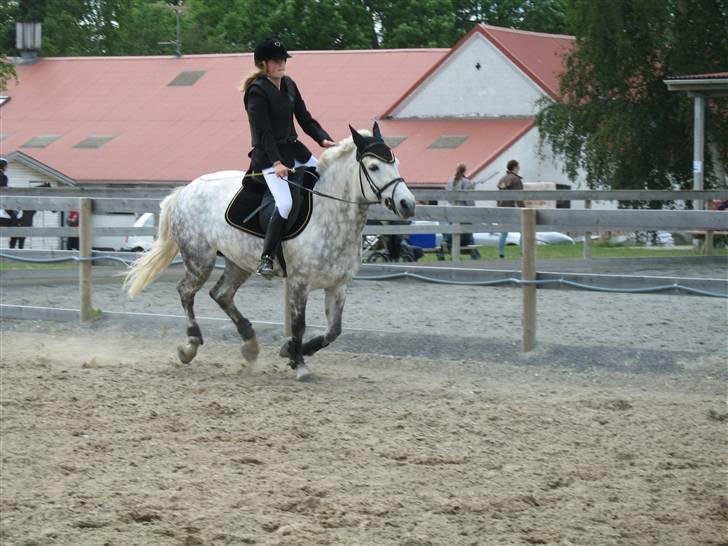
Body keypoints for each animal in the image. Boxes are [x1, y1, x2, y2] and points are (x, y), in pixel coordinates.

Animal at [125, 123, 416, 378]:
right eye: (374, 167)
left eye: (397, 164)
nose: (407, 204)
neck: (330, 213)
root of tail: (186, 189)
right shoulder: (299, 282)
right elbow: (299, 324)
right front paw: (300, 365)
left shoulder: (338, 285)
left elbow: (334, 331)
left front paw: (292, 351)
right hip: (200, 259)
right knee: (186, 292)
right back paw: (191, 345)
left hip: (238, 262)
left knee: (221, 294)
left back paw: (250, 344)